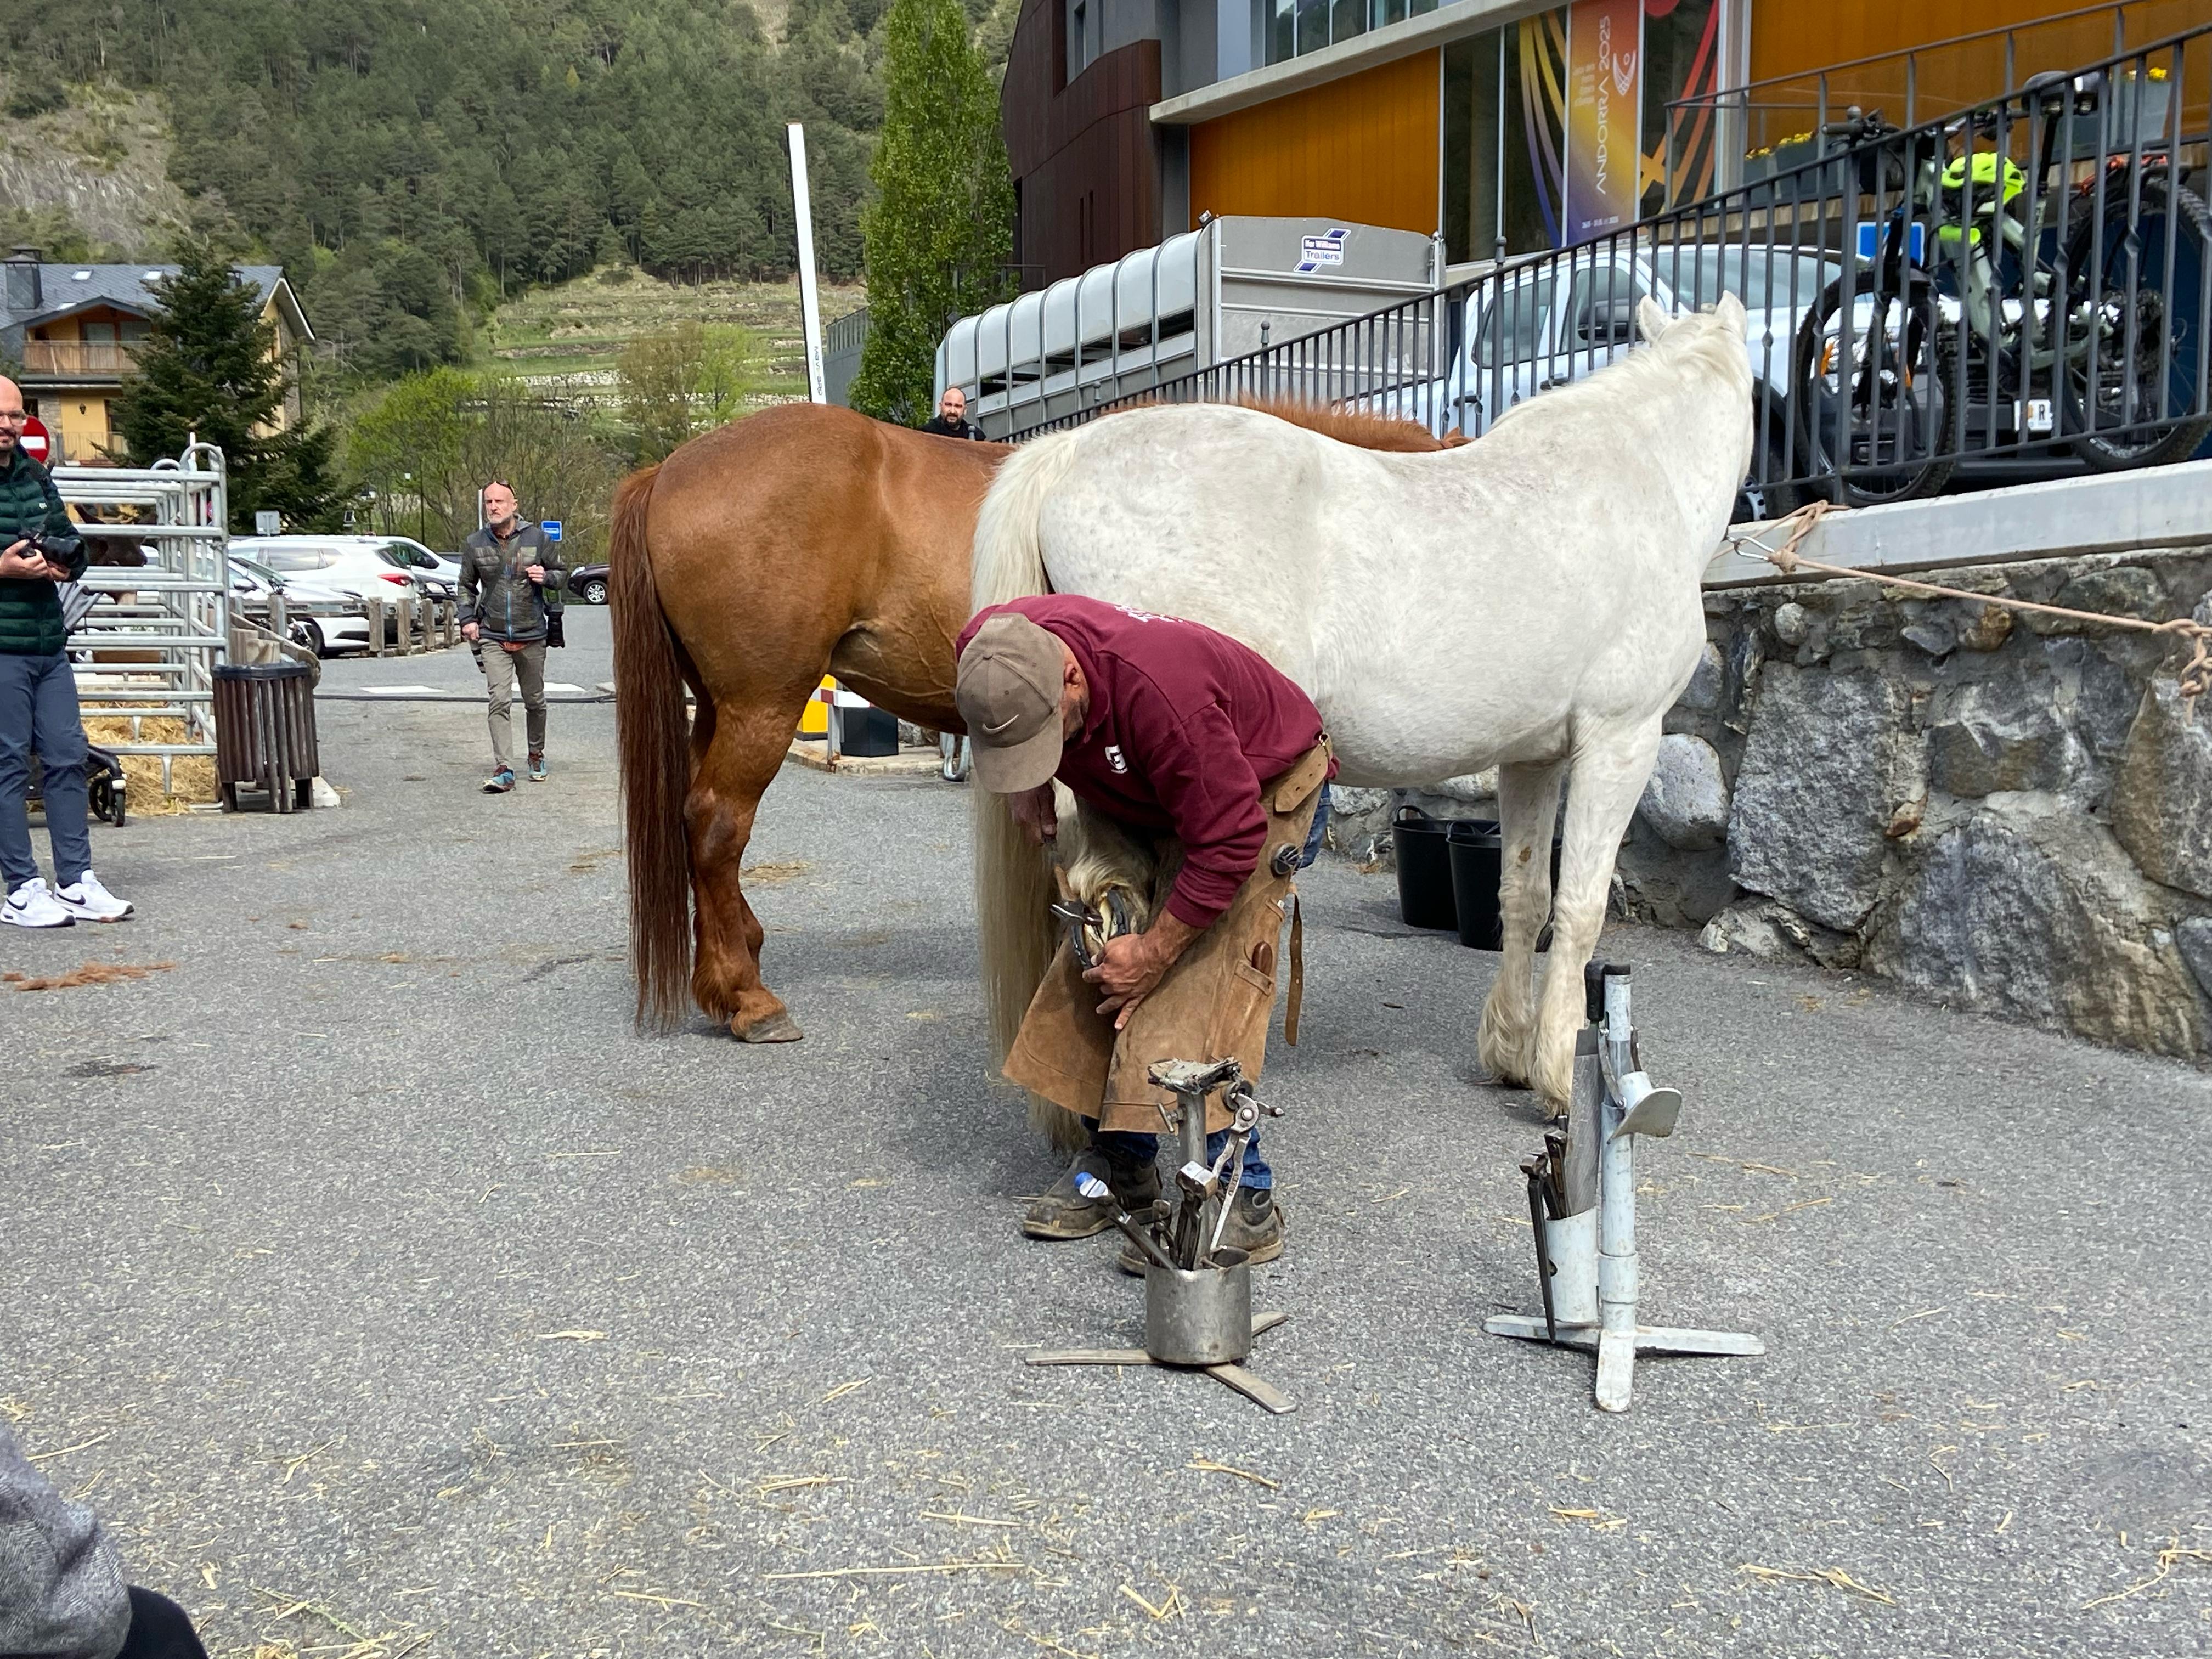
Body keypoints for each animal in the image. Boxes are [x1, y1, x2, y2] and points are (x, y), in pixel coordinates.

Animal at [970, 297, 1754, 1111]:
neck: (1639, 474)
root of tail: (1070, 450)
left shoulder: (1532, 761)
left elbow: (1525, 896)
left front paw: (1510, 1051)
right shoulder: (1621, 740)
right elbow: (1580, 905)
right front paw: (1563, 1070)